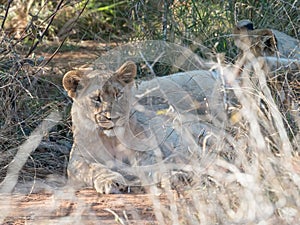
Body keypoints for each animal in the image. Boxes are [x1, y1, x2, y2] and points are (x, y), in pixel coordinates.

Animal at [62, 60, 223, 192]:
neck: (110, 139)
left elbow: (153, 166)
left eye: (118, 94)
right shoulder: (77, 160)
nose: (114, 118)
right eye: (96, 98)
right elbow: (93, 168)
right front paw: (110, 180)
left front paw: (173, 176)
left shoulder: (146, 152)